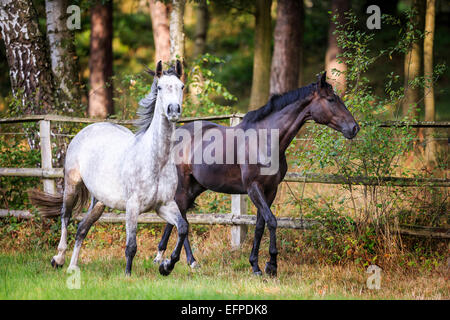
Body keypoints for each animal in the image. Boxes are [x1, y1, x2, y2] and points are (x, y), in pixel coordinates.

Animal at [29, 61, 187, 276]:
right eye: (160, 87)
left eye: (182, 87)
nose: (173, 110)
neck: (155, 160)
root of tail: (89, 128)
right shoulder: (133, 206)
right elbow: (131, 246)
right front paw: (128, 276)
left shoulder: (164, 205)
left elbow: (183, 228)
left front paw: (166, 266)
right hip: (72, 184)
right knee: (65, 216)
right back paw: (58, 259)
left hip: (99, 201)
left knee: (82, 228)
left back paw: (72, 267)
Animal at [155, 72, 358, 276]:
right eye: (331, 99)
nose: (354, 128)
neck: (265, 139)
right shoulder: (254, 188)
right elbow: (272, 221)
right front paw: (271, 265)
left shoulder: (270, 190)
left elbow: (260, 225)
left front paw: (255, 265)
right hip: (183, 186)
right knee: (181, 218)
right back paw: (168, 261)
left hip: (195, 187)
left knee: (180, 217)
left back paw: (181, 259)